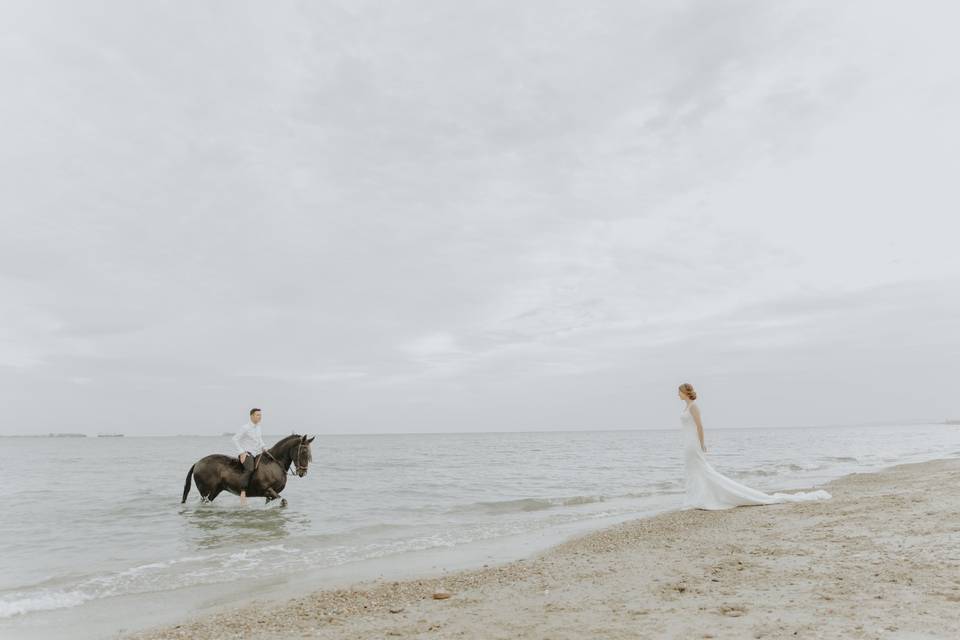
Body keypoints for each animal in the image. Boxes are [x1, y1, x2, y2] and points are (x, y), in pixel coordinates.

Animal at [182, 432, 314, 508]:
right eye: (303, 451)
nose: (303, 472)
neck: (275, 463)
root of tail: (197, 463)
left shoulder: (270, 494)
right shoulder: (267, 490)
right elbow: (283, 501)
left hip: (215, 491)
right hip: (205, 491)